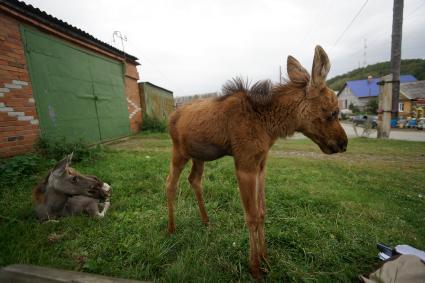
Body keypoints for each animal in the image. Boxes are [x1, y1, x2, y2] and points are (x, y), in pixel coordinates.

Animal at [164, 45, 346, 278]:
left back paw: (206, 221)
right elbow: (251, 216)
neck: (270, 125)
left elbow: (261, 212)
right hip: (179, 152)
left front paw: (265, 258)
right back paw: (171, 228)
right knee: (170, 183)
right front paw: (255, 267)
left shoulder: (261, 165)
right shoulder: (245, 164)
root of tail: (171, 116)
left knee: (194, 180)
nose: (343, 143)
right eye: (333, 112)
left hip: (199, 155)